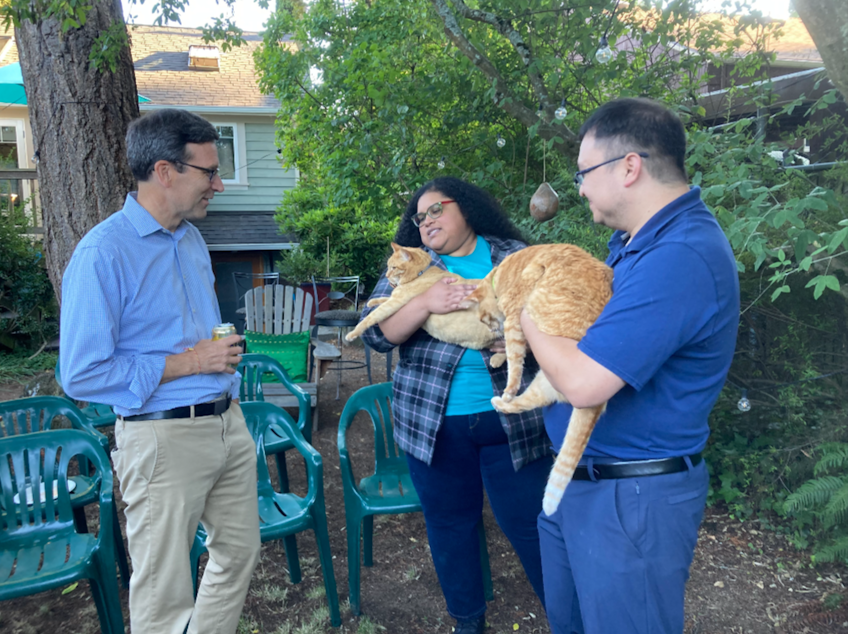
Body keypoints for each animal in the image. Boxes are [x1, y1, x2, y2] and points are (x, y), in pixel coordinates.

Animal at [346, 241, 506, 362]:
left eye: (393, 267)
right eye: (388, 267)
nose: (386, 275)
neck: (421, 273)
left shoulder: (396, 302)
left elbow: (370, 317)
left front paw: (352, 334)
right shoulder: (397, 299)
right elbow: (383, 299)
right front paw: (371, 301)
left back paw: (496, 360)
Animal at [460, 242, 612, 512]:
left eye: (482, 319)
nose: (490, 329)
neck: (500, 276)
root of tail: (598, 404)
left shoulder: (514, 319)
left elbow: (515, 359)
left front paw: (507, 374)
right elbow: (513, 354)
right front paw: (497, 359)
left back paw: (504, 396)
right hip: (541, 382)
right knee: (521, 404)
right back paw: (499, 402)